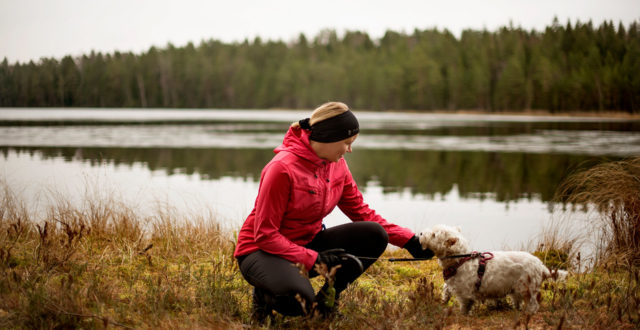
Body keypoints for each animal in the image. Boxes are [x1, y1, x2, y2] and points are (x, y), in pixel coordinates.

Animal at [420, 224, 564, 314]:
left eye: (434, 235)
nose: (421, 233)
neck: (460, 260)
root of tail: (541, 266)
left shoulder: (466, 294)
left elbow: (465, 306)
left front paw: (463, 315)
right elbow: (446, 291)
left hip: (528, 288)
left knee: (533, 303)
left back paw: (529, 312)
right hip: (516, 289)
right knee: (518, 301)